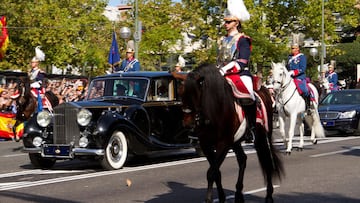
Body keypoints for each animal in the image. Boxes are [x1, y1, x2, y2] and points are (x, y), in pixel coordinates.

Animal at [183, 63, 284, 203]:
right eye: (182, 93)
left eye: (196, 94)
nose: (187, 124)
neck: (215, 108)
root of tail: (265, 89)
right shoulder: (206, 145)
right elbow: (216, 172)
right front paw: (221, 197)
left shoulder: (224, 144)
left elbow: (211, 173)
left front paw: (209, 199)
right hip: (237, 142)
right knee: (242, 160)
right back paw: (238, 195)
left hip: (262, 136)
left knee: (266, 159)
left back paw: (268, 195)